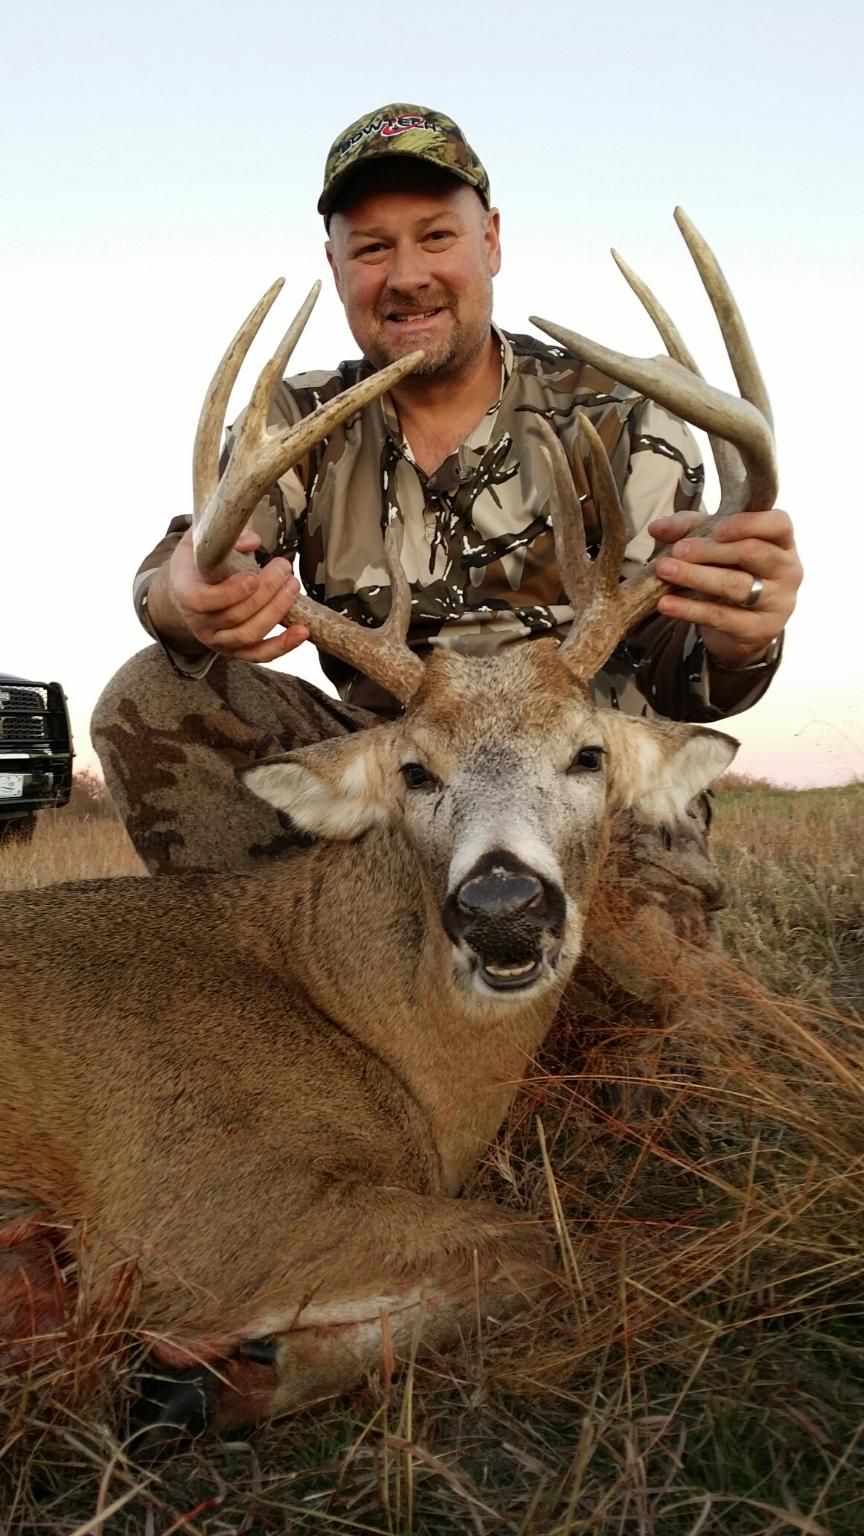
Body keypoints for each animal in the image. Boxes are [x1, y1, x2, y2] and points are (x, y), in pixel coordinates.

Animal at [0, 210, 775, 1433]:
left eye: (590, 755)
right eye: (415, 770)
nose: (503, 905)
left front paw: (219, 1378)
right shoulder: (188, 1206)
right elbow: (527, 1250)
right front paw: (204, 1375)